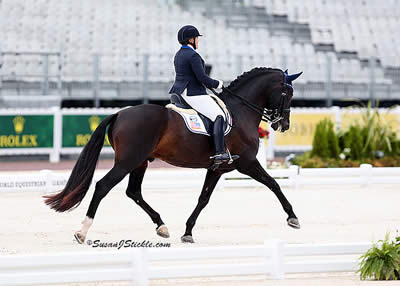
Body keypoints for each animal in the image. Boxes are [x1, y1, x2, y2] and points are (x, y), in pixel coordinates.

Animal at [44, 67, 300, 244]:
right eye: (287, 92)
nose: (284, 124)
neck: (241, 111)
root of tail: (119, 114)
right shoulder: (247, 163)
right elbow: (274, 184)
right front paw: (292, 218)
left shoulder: (218, 168)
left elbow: (203, 199)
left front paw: (187, 232)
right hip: (127, 162)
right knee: (102, 186)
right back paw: (82, 231)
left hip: (140, 162)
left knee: (133, 192)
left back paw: (162, 226)